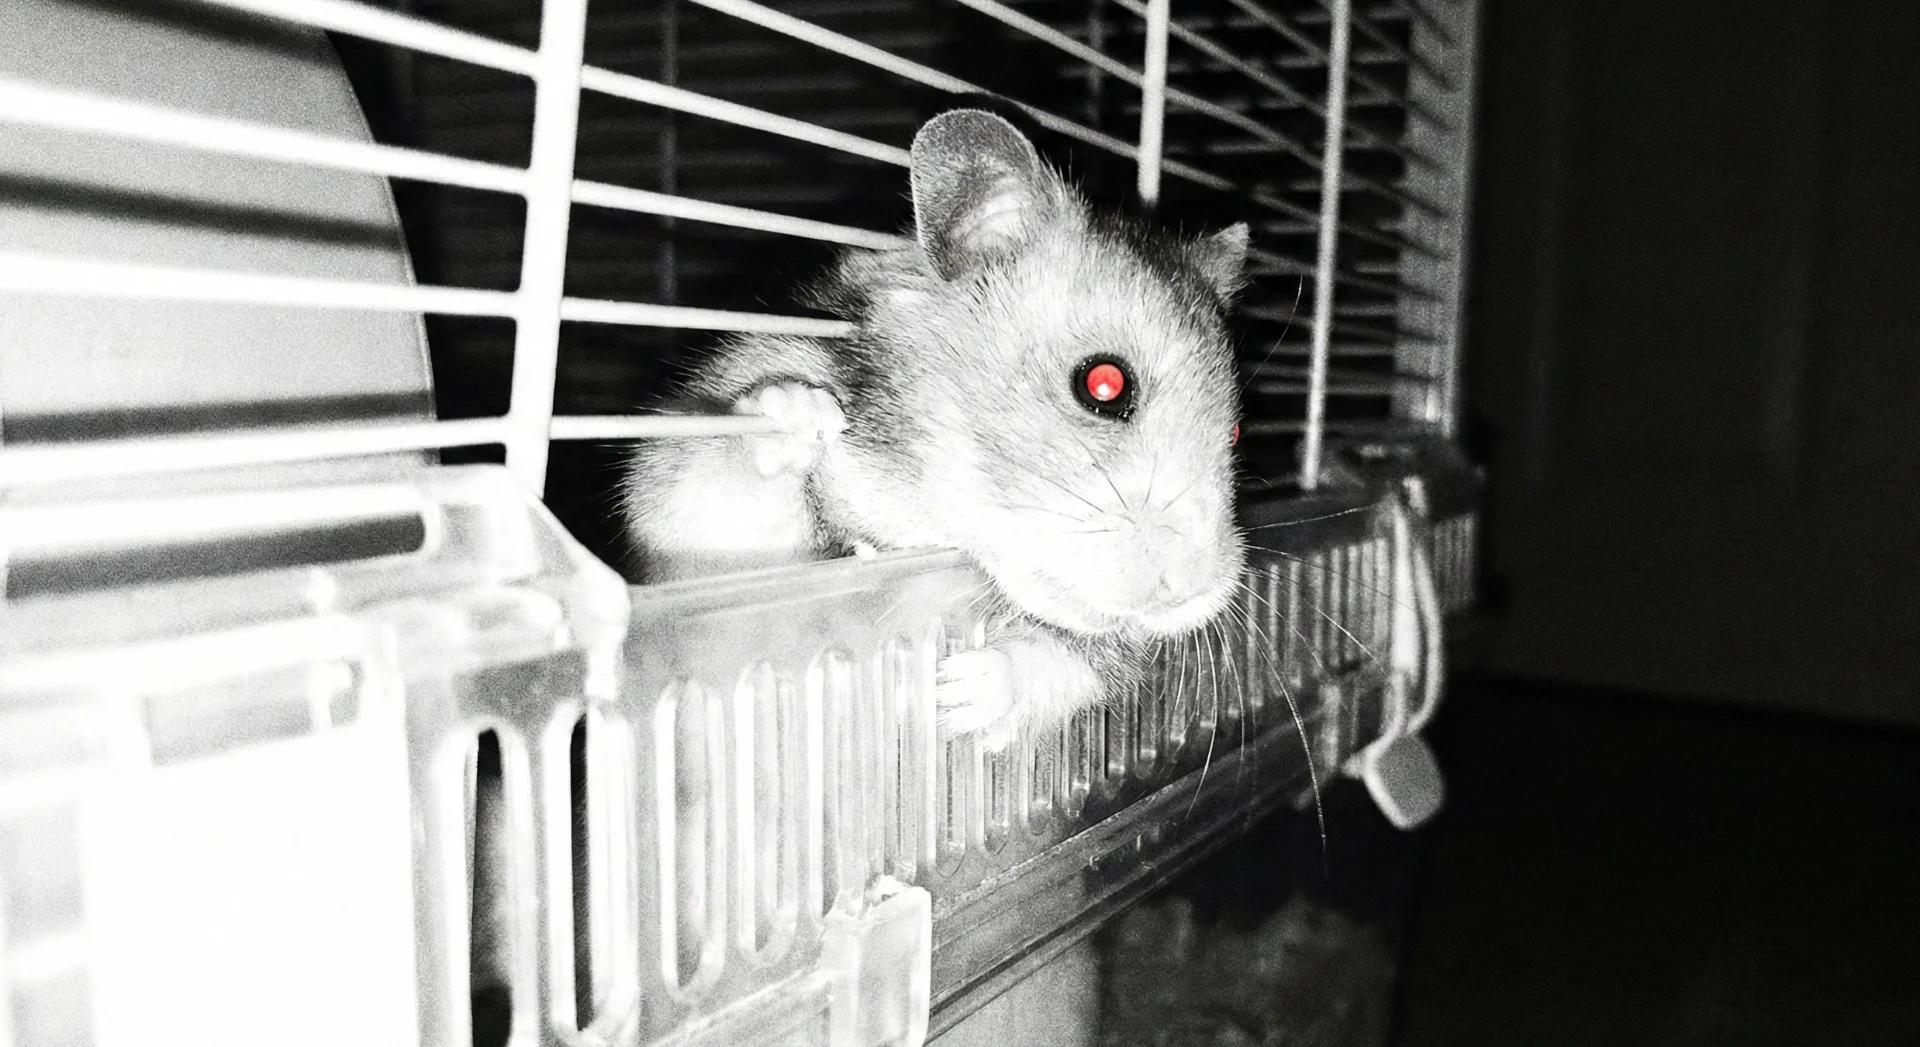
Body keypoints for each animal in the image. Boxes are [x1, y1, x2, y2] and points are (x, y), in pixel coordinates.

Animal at [622, 109, 1250, 744]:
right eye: (1103, 385)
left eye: (1236, 435)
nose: (1192, 592)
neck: (923, 503)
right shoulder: (694, 551)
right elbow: (720, 496)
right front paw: (807, 415)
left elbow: (1080, 662)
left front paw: (952, 694)